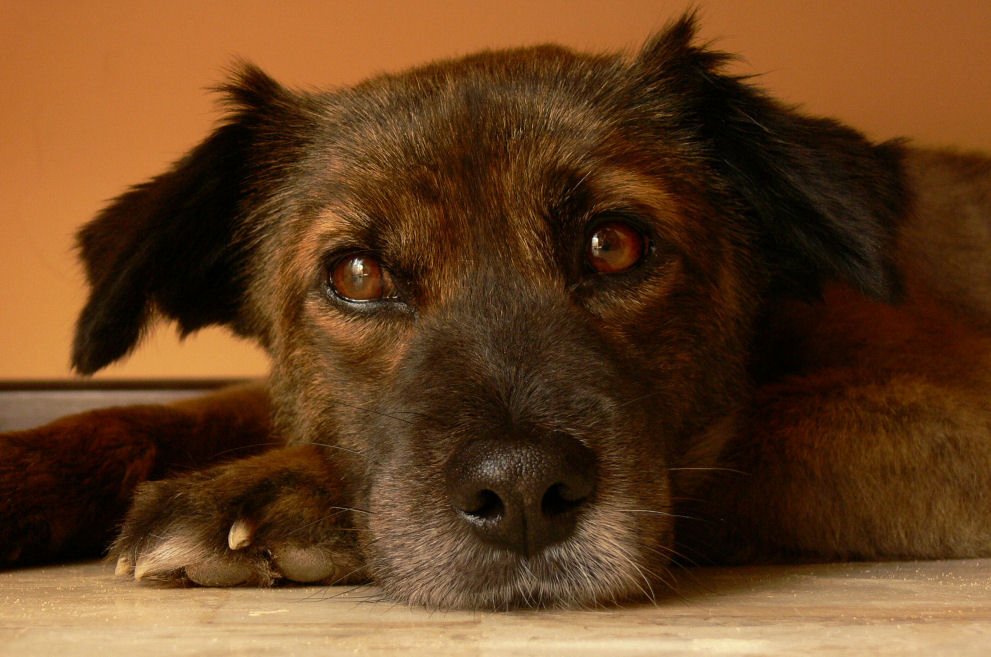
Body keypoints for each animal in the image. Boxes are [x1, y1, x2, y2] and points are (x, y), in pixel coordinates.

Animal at [2, 13, 990, 609]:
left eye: (613, 243)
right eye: (356, 272)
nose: (521, 494)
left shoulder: (953, 418)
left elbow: (734, 439)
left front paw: (286, 493)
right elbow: (168, 411)